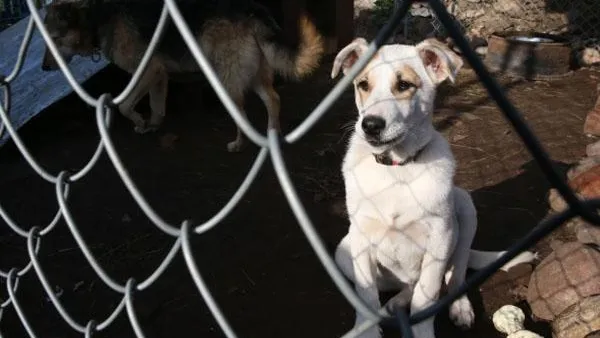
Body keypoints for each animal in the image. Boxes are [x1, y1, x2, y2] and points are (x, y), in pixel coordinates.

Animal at [330, 38, 536, 336]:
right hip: (342, 253)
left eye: (404, 85)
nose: (370, 125)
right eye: (363, 84)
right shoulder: (360, 238)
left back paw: (458, 307)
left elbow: (426, 298)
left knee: (454, 276)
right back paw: (393, 305)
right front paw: (365, 329)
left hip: (464, 212)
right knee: (406, 287)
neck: (396, 168)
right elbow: (366, 296)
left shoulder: (440, 237)